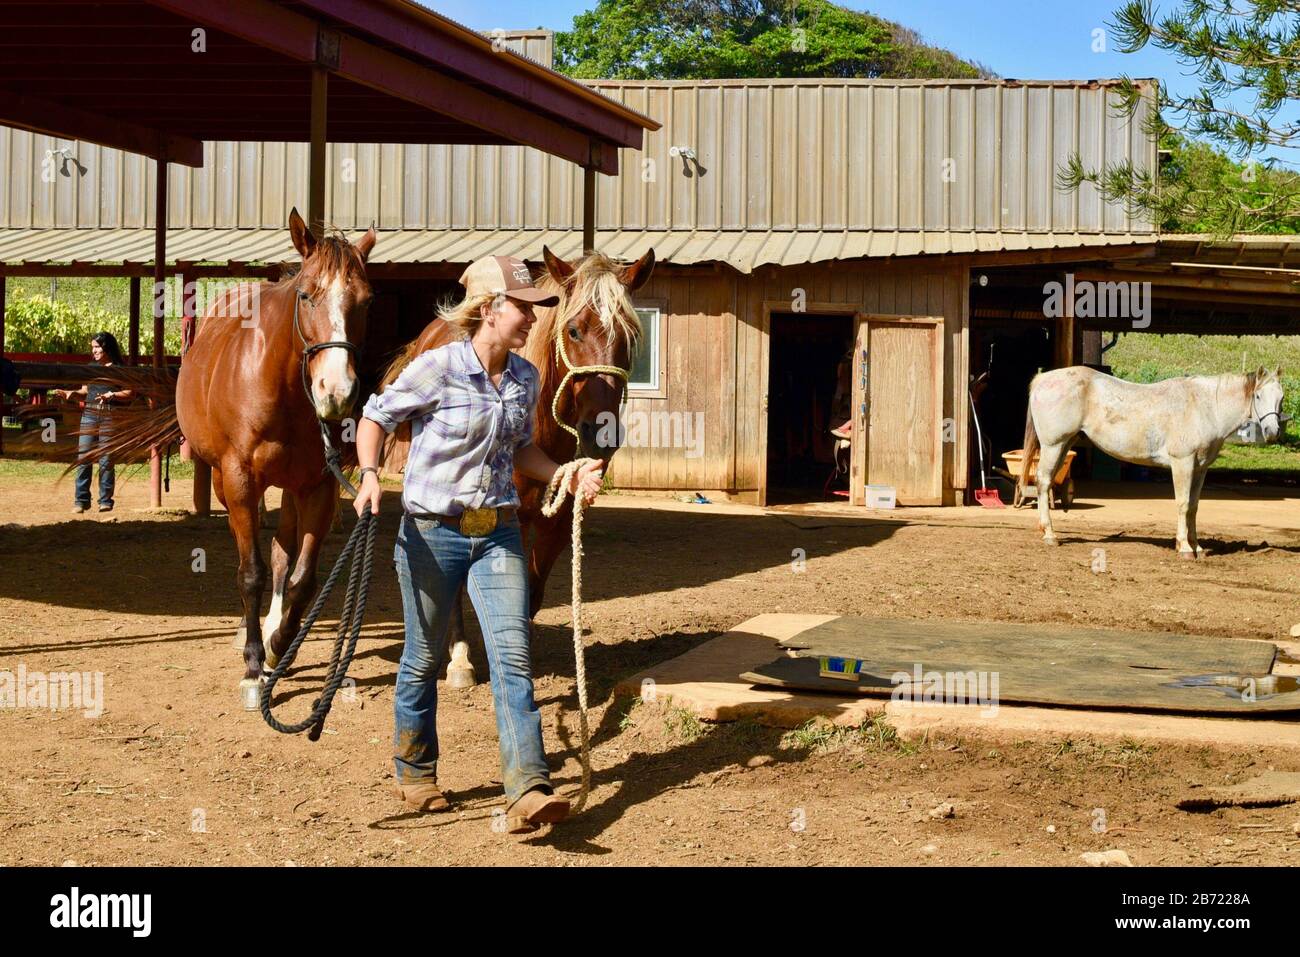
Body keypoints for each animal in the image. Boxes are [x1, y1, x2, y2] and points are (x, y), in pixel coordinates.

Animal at [92, 210, 377, 705]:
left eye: (364, 300)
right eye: (307, 295)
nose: (336, 394)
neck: (285, 390)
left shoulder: (318, 484)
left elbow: (302, 577)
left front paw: (279, 642)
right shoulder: (241, 481)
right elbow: (251, 573)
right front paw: (253, 665)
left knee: (283, 554)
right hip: (226, 484)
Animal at [1020, 365, 1285, 556]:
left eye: (1281, 397)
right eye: (1258, 395)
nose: (1272, 432)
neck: (1204, 407)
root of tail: (1041, 379)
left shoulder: (1200, 469)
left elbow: (1194, 507)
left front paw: (1197, 546)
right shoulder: (1182, 464)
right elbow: (1183, 504)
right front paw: (1184, 548)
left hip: (1065, 445)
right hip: (1053, 446)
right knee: (1043, 483)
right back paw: (1050, 535)